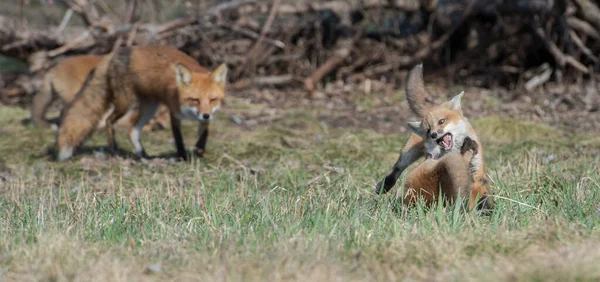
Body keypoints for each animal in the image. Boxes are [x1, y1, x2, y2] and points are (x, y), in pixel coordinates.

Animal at [56, 45, 227, 161]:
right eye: (194, 100)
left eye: (213, 100)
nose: (205, 115)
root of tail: (114, 53)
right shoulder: (174, 112)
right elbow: (178, 138)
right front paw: (182, 156)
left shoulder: (207, 115)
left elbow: (204, 132)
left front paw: (200, 151)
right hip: (126, 103)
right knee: (109, 121)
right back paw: (114, 151)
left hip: (149, 108)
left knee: (132, 131)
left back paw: (144, 155)